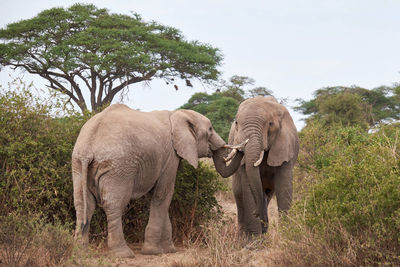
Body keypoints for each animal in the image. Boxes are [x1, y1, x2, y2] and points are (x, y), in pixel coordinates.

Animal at [71, 103, 244, 258]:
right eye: (210, 129)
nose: (242, 148)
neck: (177, 114)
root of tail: (88, 146)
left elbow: (156, 197)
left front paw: (169, 250)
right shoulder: (170, 157)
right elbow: (164, 194)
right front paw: (153, 252)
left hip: (78, 164)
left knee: (83, 204)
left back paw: (81, 252)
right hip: (118, 167)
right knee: (114, 204)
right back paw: (123, 254)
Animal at [227, 96, 298, 237]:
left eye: (270, 124)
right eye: (236, 123)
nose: (256, 212)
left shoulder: (286, 147)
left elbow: (284, 188)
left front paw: (287, 236)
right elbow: (248, 188)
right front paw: (254, 240)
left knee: (267, 195)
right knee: (239, 195)